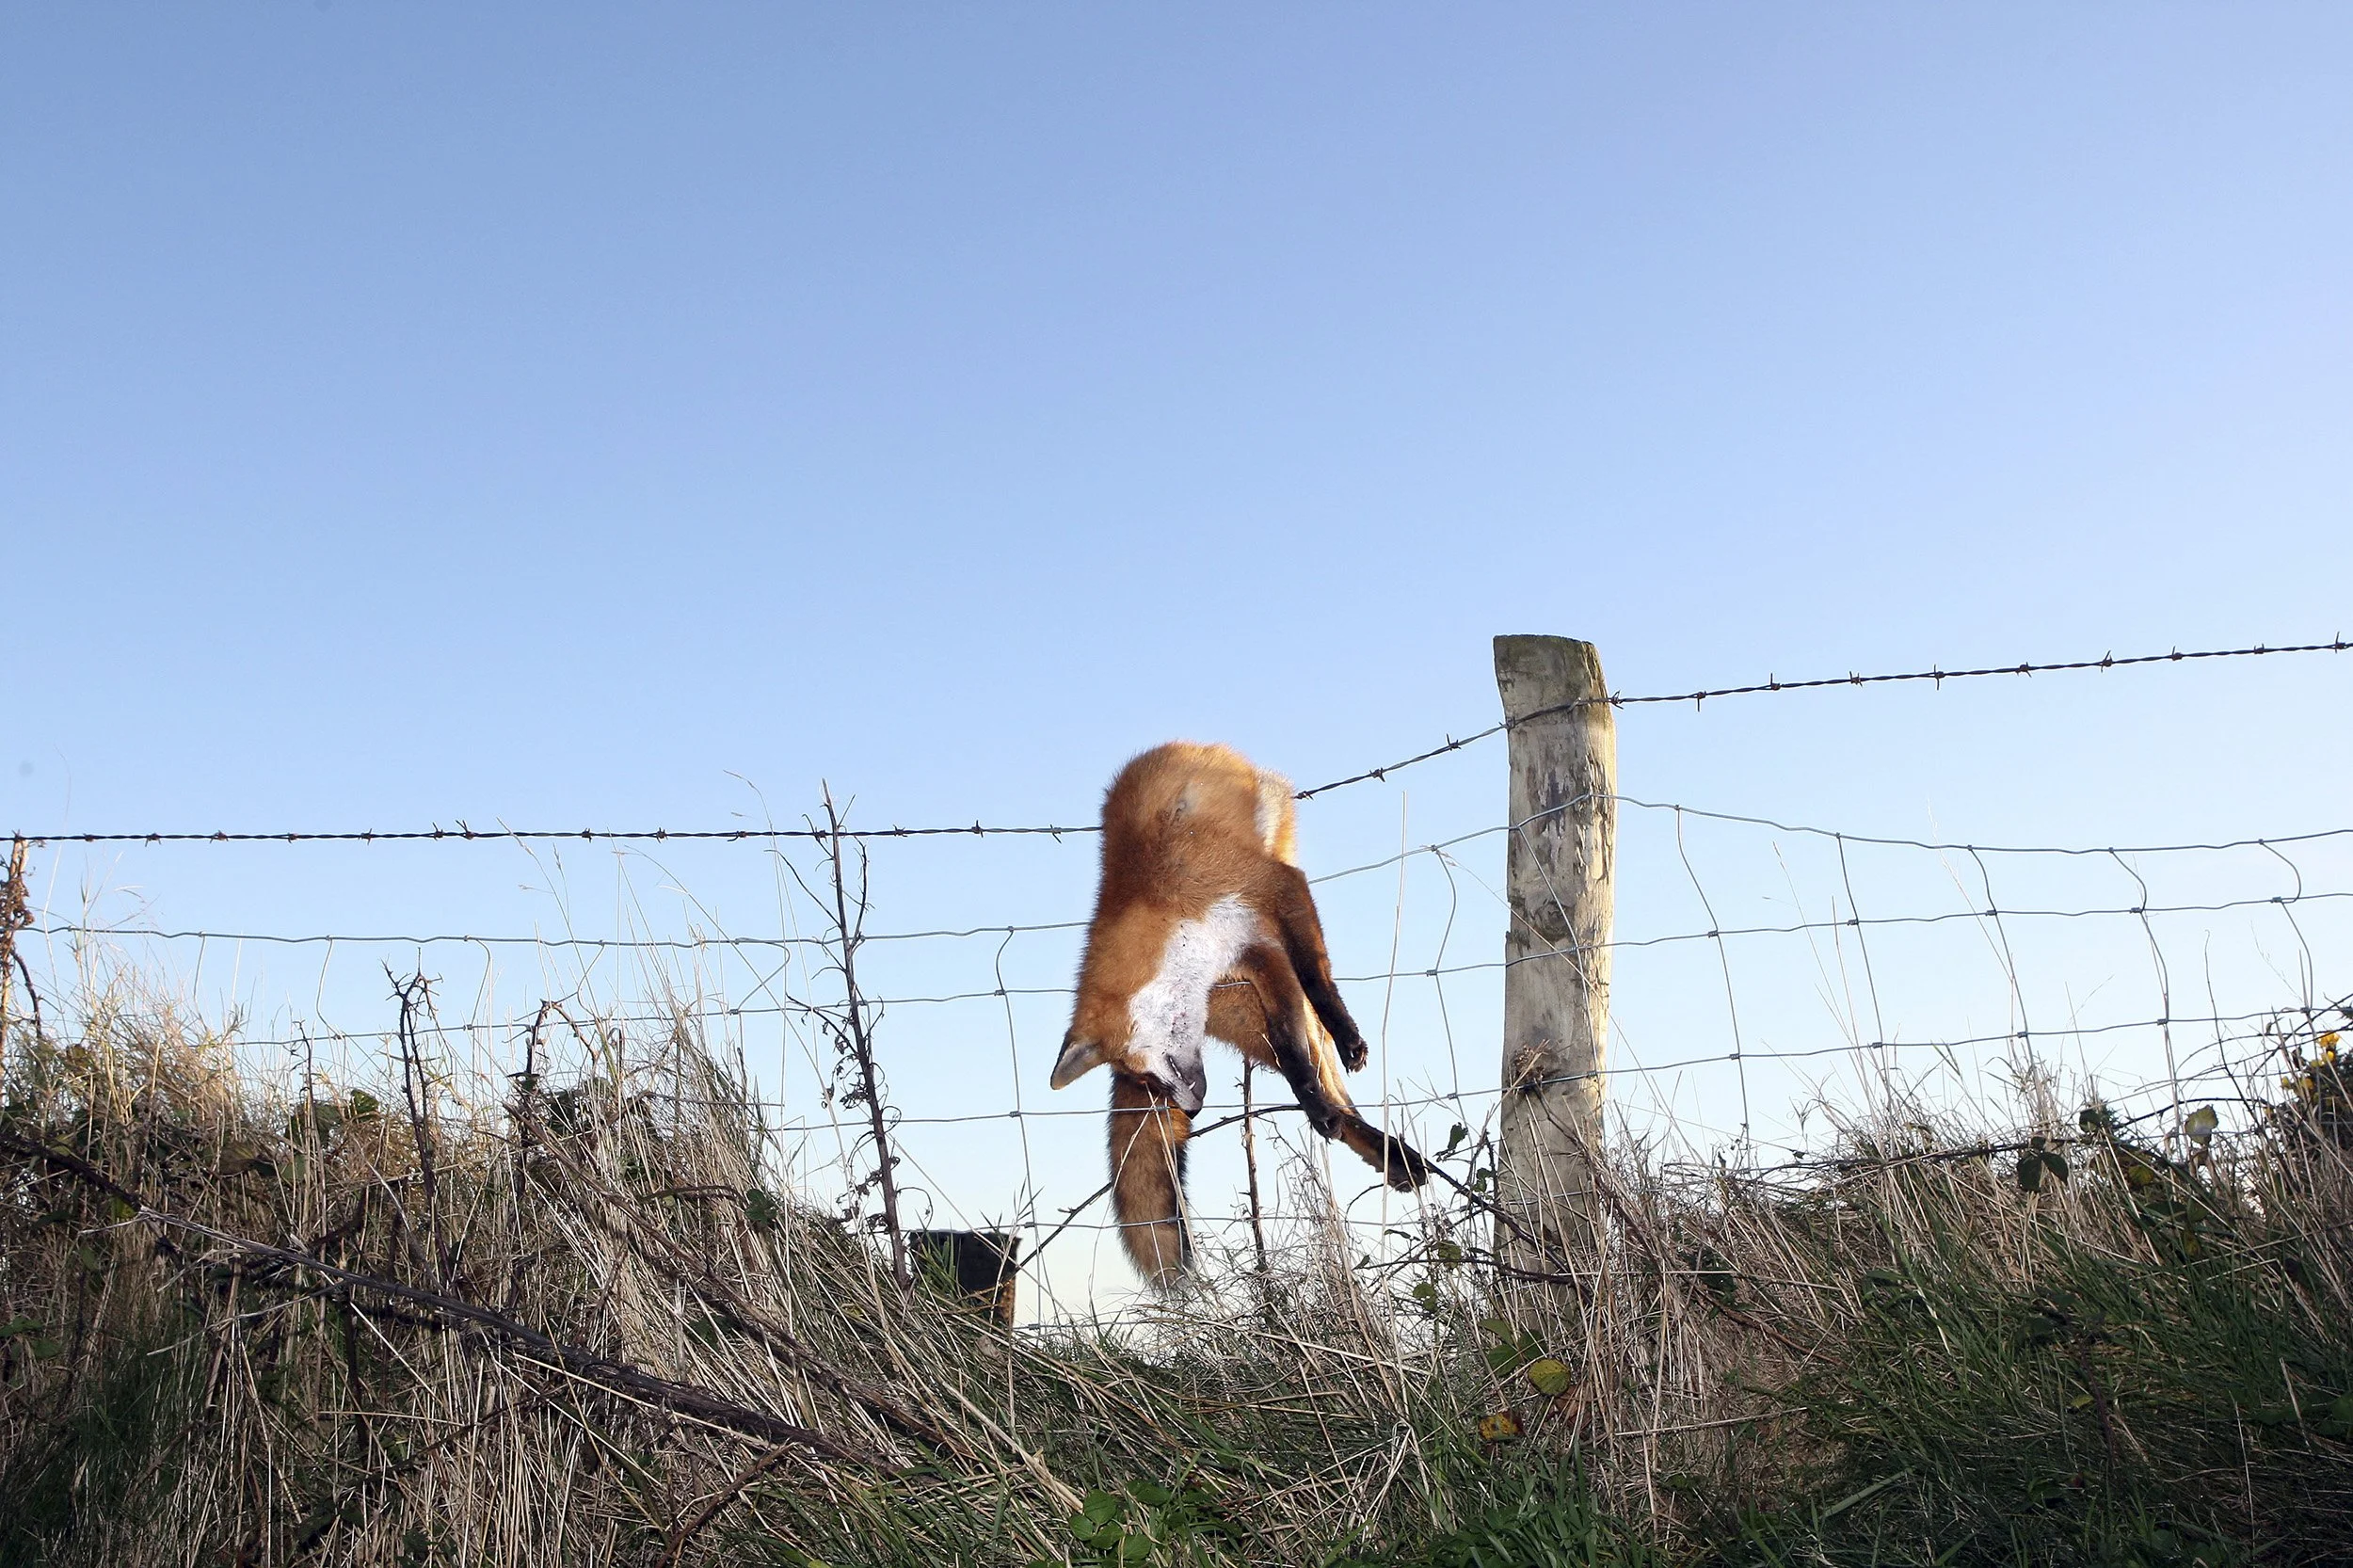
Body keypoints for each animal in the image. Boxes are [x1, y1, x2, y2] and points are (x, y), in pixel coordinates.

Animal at [1049, 742, 1434, 1285]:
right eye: (1144, 1084)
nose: (1190, 1110)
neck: (1163, 899)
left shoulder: (1274, 893)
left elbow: (1316, 978)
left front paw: (1349, 1035)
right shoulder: (1255, 958)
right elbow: (1294, 1058)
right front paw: (1315, 1107)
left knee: (1331, 1068)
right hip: (1245, 1013)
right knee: (1333, 1092)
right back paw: (1381, 1151)